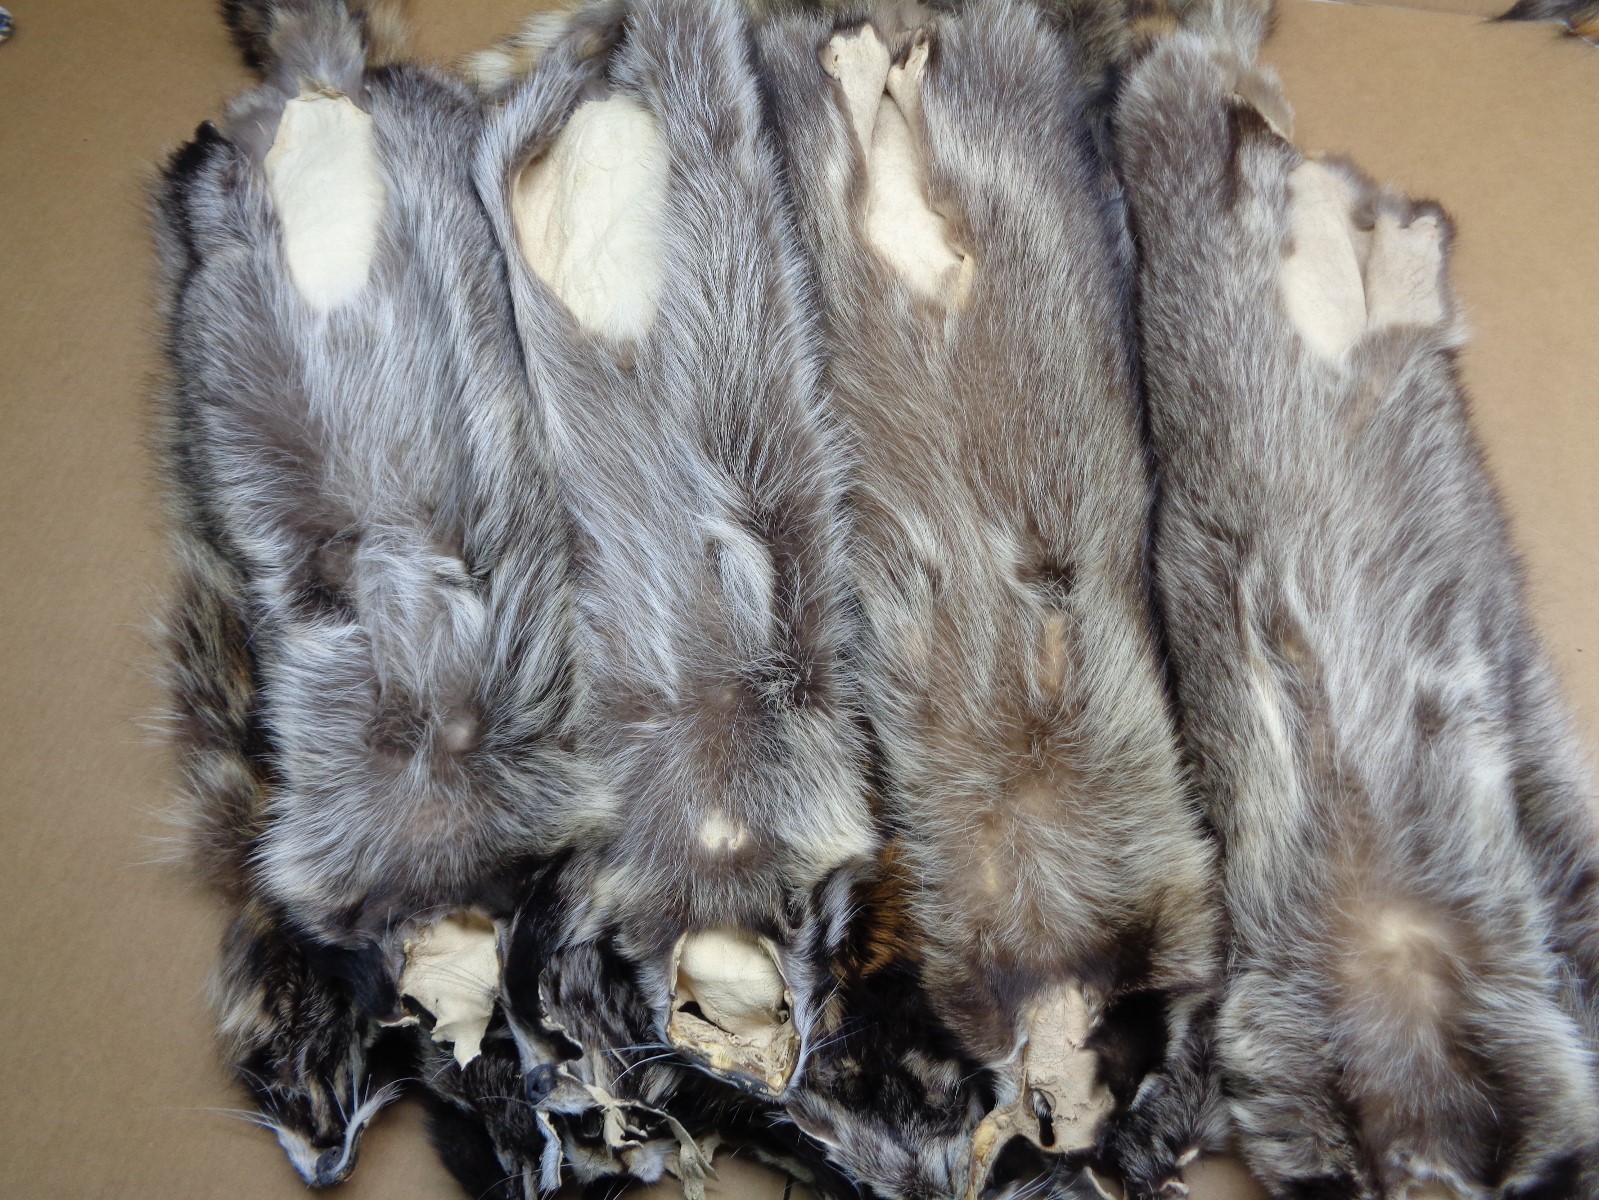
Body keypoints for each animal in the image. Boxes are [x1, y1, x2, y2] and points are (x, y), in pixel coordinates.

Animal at [154, 0, 582, 1181]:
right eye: (294, 1064)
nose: (329, 1165)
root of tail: (327, 91)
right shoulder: (326, 862)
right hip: (272, 214)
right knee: (204, 190)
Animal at [754, 4, 1225, 1195]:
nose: (1062, 1135)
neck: (1060, 978)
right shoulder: (1104, 931)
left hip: (948, 210)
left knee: (889, 175)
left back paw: (881, 82)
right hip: (955, 207)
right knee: (884, 172)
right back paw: (873, 74)